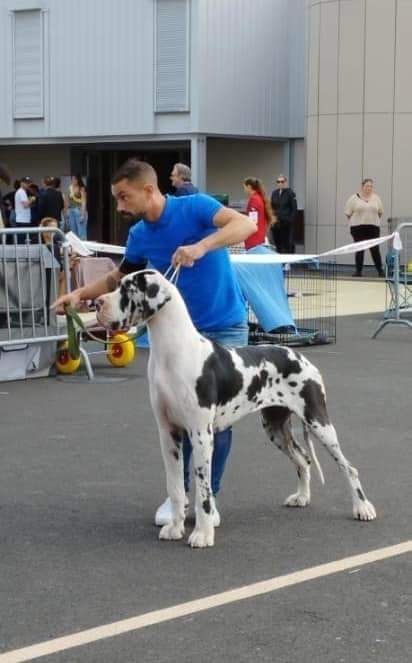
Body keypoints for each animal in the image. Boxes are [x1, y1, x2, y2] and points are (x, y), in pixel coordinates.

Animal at [95, 269, 376, 548]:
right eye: (118, 284)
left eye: (128, 289)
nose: (97, 303)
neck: (172, 352)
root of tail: (301, 357)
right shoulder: (168, 433)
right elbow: (175, 487)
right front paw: (175, 527)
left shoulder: (201, 435)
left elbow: (203, 491)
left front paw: (203, 533)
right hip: (275, 427)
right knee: (303, 459)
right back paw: (301, 497)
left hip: (319, 421)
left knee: (348, 467)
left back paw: (362, 508)